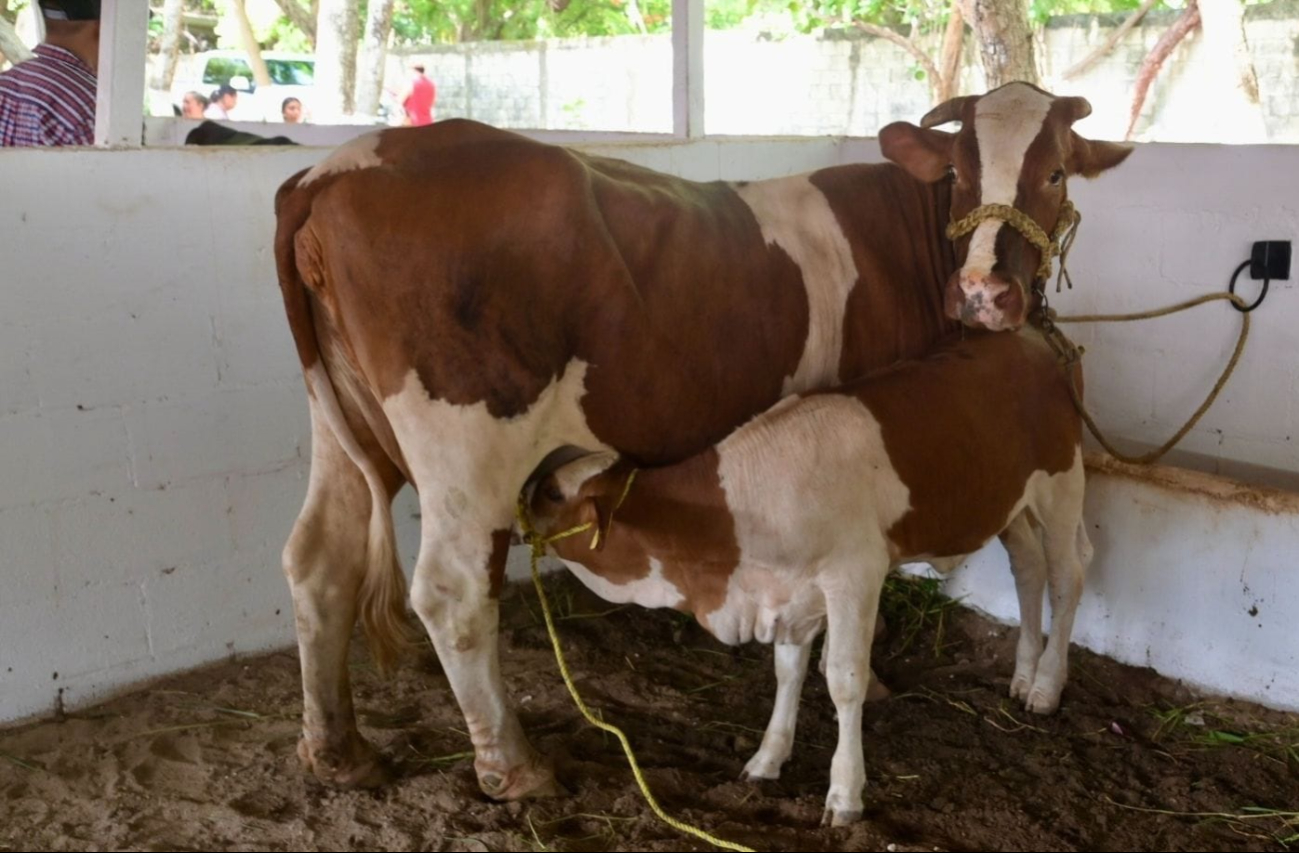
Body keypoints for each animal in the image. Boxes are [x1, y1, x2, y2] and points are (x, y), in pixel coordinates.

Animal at [527, 325, 1085, 825]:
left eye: (552, 492)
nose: (520, 496)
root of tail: (1026, 338)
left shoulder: (855, 575)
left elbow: (843, 679)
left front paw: (845, 793)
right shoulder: (788, 594)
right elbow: (787, 671)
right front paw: (767, 758)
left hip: (1062, 489)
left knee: (1066, 578)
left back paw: (1045, 686)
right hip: (1010, 506)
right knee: (1028, 569)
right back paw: (1021, 674)